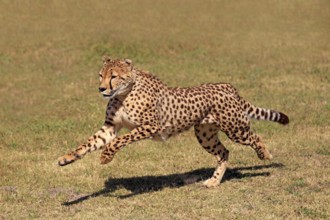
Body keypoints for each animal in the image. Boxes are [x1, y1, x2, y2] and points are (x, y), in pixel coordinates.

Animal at [59, 56, 288, 187]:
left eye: (113, 76)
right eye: (100, 75)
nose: (101, 88)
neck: (124, 93)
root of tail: (226, 85)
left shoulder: (151, 126)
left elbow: (120, 140)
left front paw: (106, 156)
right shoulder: (110, 127)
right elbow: (88, 143)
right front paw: (66, 158)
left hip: (235, 128)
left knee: (255, 137)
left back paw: (265, 154)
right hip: (205, 135)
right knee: (224, 152)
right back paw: (214, 182)